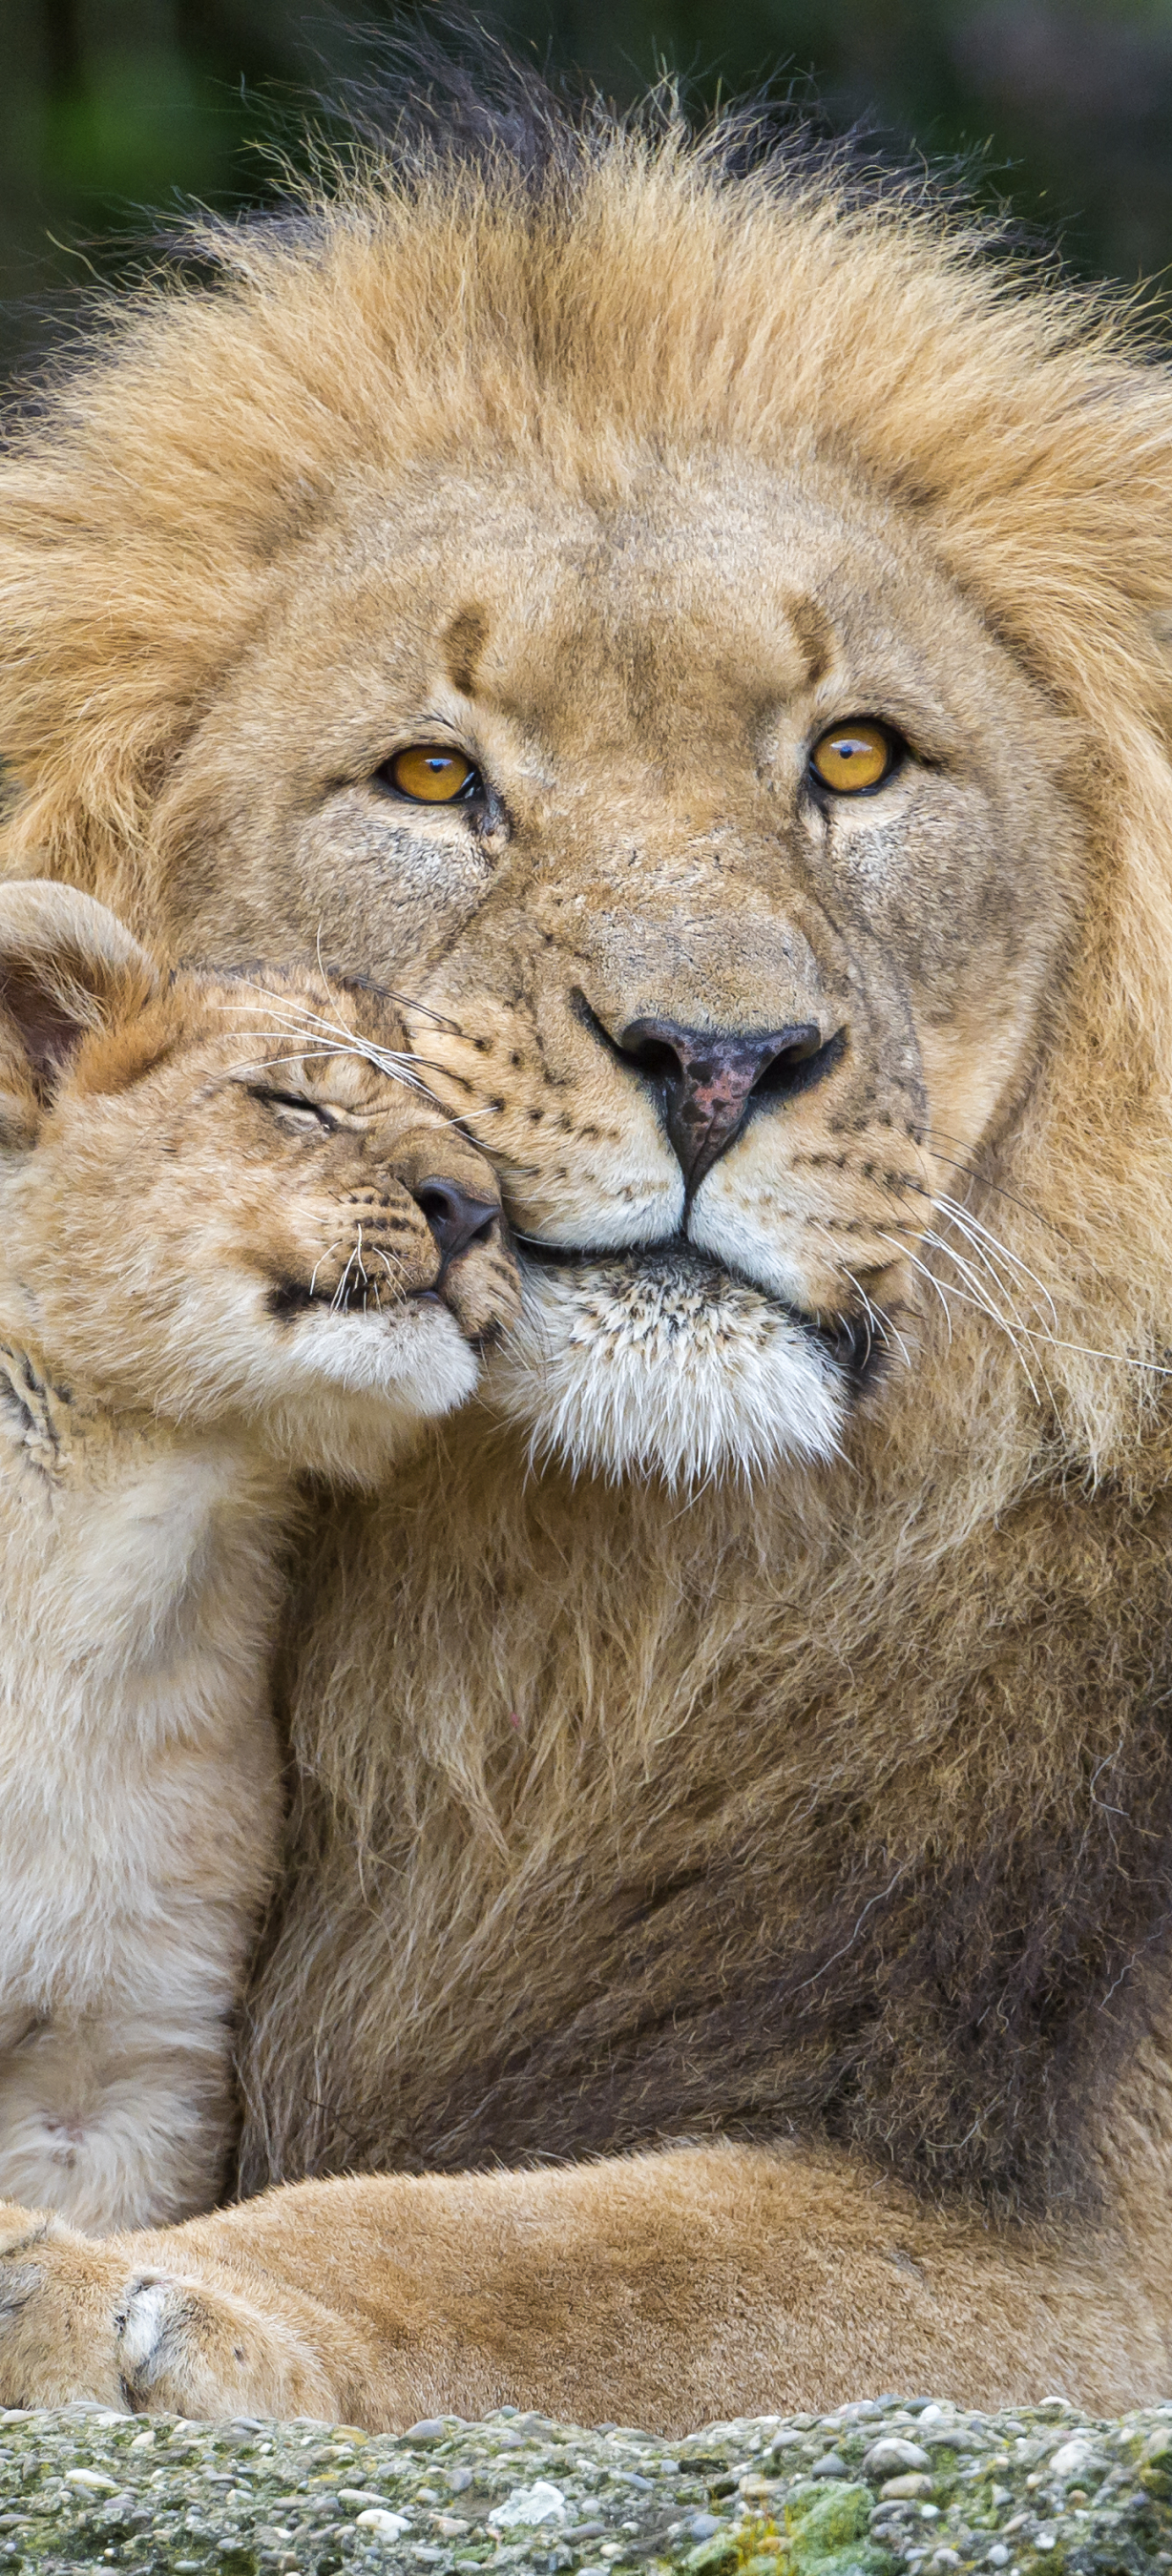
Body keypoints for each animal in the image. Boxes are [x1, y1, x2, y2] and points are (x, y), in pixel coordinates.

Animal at [0, 50, 1172, 2431]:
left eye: (853, 758)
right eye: (432, 780)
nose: (714, 1059)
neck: (586, 1615)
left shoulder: (1100, 2233)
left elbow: (572, 2254)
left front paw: (134, 2295)